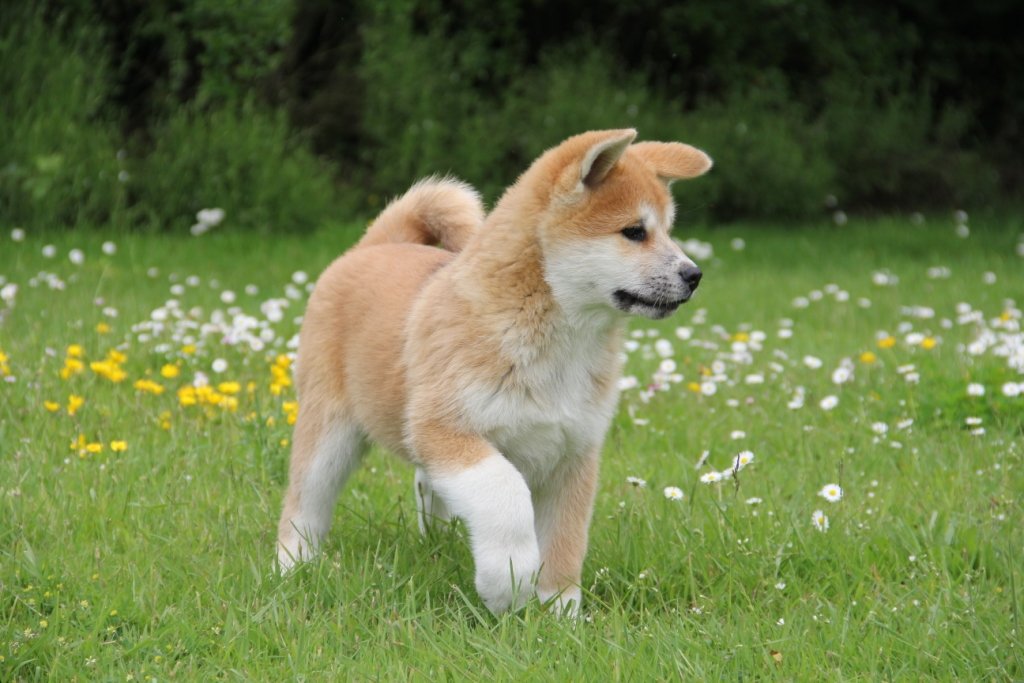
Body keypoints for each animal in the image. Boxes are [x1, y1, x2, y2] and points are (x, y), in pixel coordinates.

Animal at [278, 127, 712, 614]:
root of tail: (375, 246)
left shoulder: (574, 453)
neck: (556, 341)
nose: (694, 275)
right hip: (329, 432)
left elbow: (566, 541)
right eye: (634, 232)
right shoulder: (445, 430)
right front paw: (508, 581)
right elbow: (507, 496)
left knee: (427, 484)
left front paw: (560, 612)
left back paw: (439, 540)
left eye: (668, 231)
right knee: (303, 503)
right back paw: (293, 568)